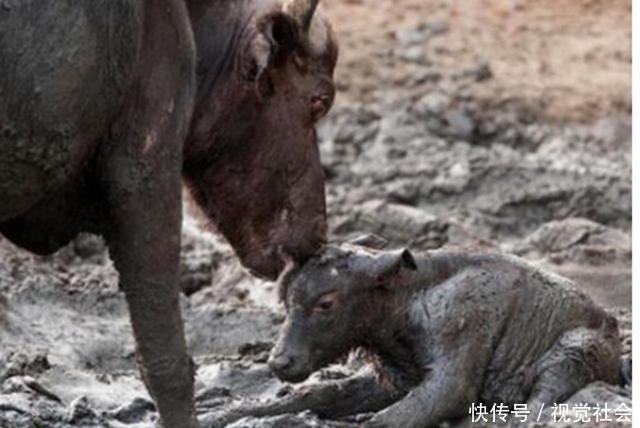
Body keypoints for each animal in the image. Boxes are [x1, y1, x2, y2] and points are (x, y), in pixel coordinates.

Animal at [210, 239, 620, 426]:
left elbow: (388, 419)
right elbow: (320, 392)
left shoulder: (451, 382)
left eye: (326, 303)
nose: (279, 362)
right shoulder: (392, 380)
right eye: (286, 298)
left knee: (539, 400)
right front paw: (221, 413)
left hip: (573, 351)